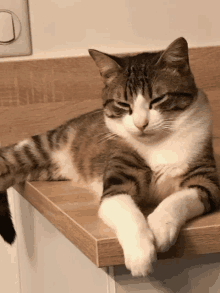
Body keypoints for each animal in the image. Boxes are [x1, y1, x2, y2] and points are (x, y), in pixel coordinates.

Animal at [0, 37, 220, 276]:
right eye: (123, 104)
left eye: (158, 99)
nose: (141, 124)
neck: (156, 143)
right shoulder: (116, 185)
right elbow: (128, 214)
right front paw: (141, 256)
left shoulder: (206, 180)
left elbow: (177, 200)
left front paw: (160, 227)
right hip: (37, 148)